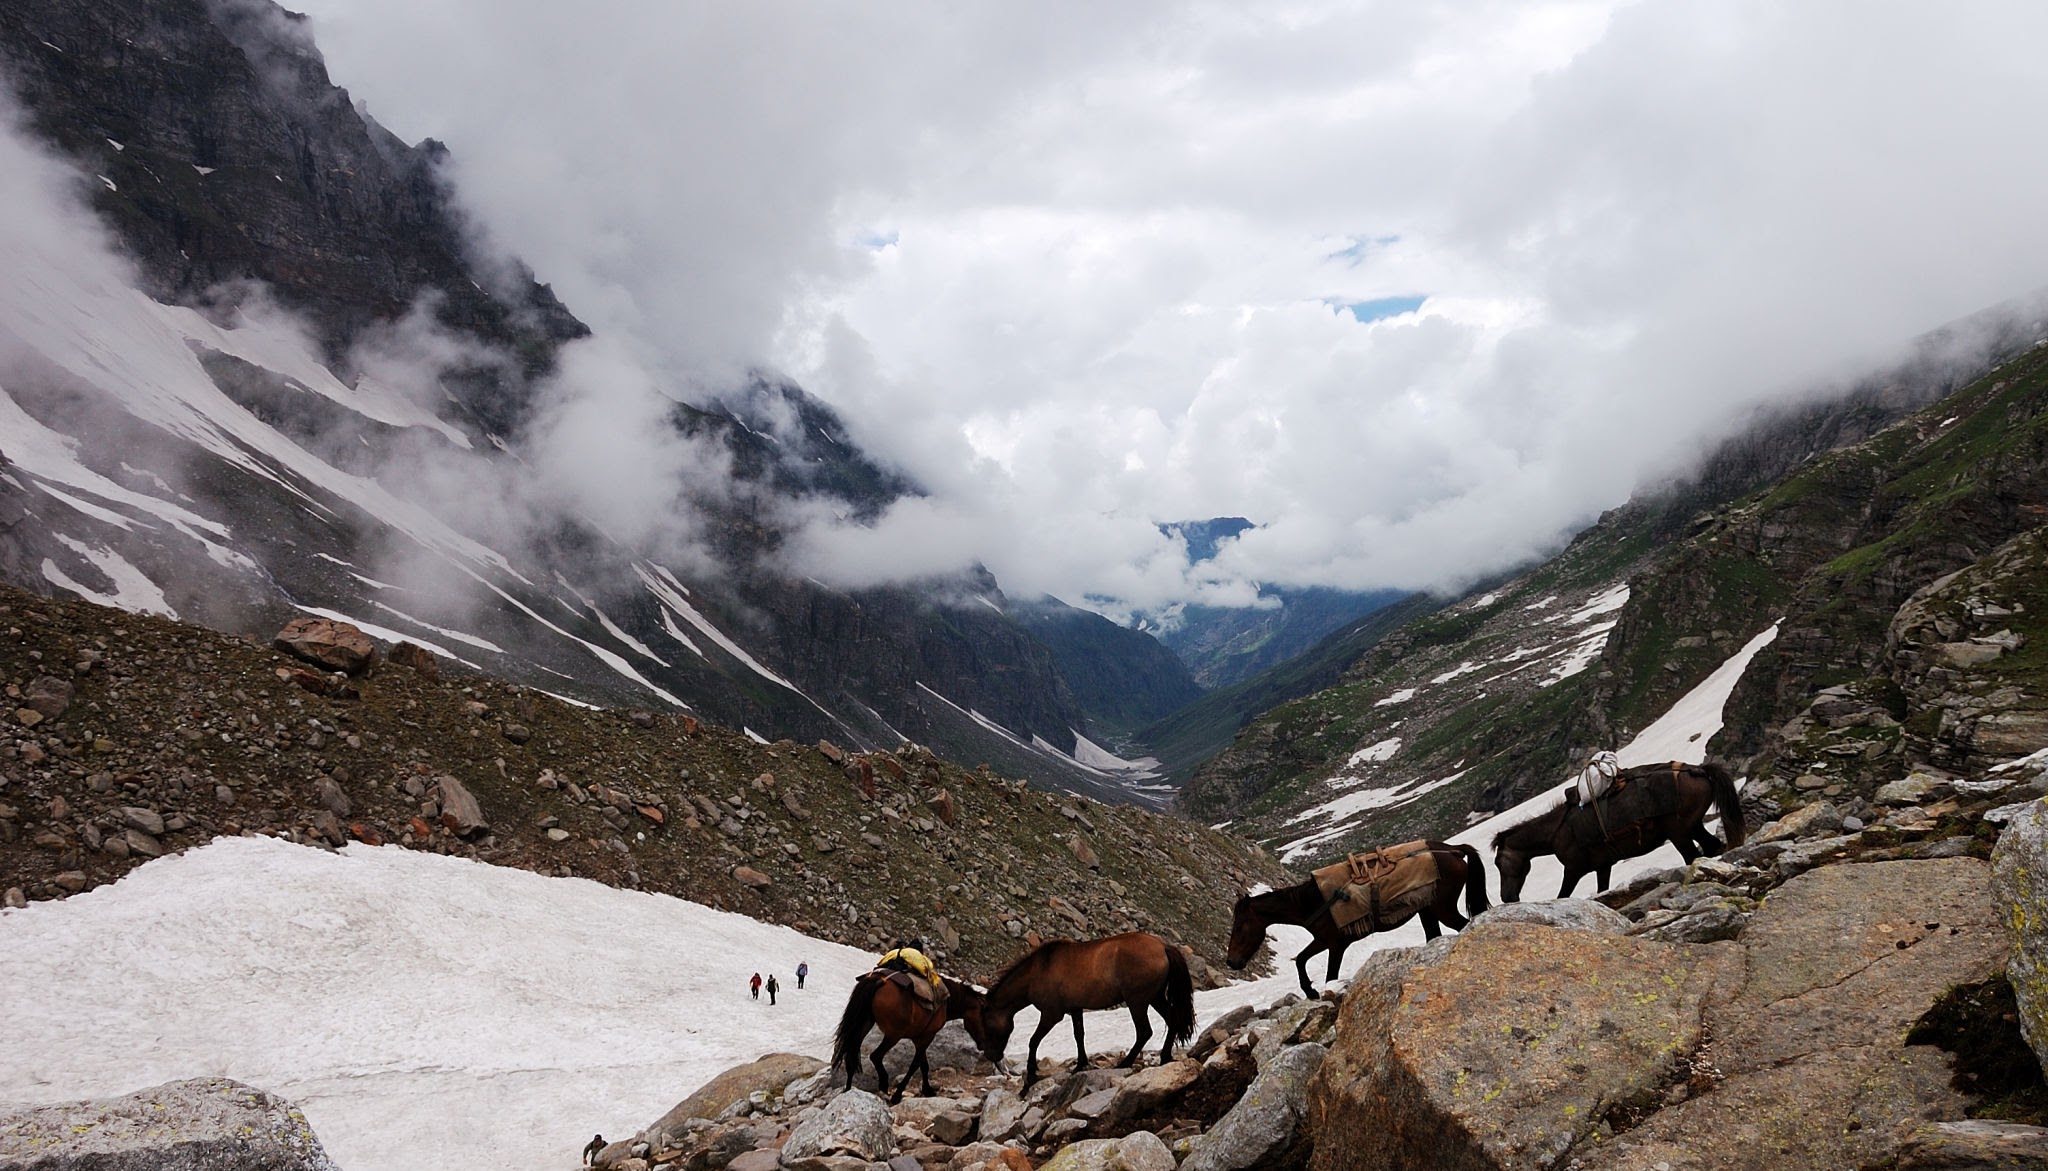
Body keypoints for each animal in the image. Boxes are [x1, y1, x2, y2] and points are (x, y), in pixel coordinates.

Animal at [831, 970, 991, 1097]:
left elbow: (924, 1065)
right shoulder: (927, 1036)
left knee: (850, 1055)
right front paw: (898, 1095)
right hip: (893, 1035)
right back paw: (883, 1084)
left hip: (863, 1024)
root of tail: (880, 981)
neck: (947, 1001)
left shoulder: (919, 1037)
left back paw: (848, 1089)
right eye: (984, 1018)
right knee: (875, 1056)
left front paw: (927, 1090)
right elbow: (915, 1065)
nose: (984, 1044)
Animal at [974, 933, 1196, 1089]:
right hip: (1155, 998)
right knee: (1173, 1020)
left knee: (1144, 1031)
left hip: (1138, 1001)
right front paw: (1080, 1065)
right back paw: (1165, 1057)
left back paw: (1125, 1062)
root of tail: (1163, 947)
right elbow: (1078, 1035)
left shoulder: (1051, 1014)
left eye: (987, 1025)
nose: (991, 1055)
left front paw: (1031, 1074)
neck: (1039, 970)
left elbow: (1034, 1040)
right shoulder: (1075, 1009)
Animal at [1220, 843, 1482, 999]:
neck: (1311, 902)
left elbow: (1326, 974)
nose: (1232, 962)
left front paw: (1315, 992)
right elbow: (1301, 959)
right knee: (1434, 936)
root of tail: (1453, 850)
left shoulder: (1335, 944)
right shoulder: (1324, 940)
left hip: (1443, 908)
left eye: (1240, 926)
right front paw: (1310, 991)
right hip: (1427, 910)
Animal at [1490, 765, 1744, 900]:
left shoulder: (1573, 870)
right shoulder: (1603, 866)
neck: (1558, 830)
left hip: (1679, 833)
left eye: (1499, 863)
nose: (1507, 897)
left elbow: (1563, 895)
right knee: (1711, 847)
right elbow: (1602, 889)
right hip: (1693, 827)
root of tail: (1697, 770)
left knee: (1692, 856)